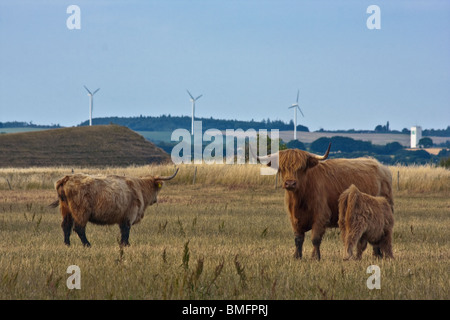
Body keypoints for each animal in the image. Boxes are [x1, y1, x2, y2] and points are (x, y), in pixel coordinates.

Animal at [50, 169, 178, 246]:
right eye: (156, 189)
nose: (156, 200)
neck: (140, 188)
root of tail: (66, 178)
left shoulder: (123, 217)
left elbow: (123, 230)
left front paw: (123, 244)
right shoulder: (129, 214)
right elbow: (126, 231)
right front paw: (126, 244)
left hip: (66, 210)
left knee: (66, 226)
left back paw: (67, 244)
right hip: (81, 211)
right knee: (79, 228)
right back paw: (88, 245)